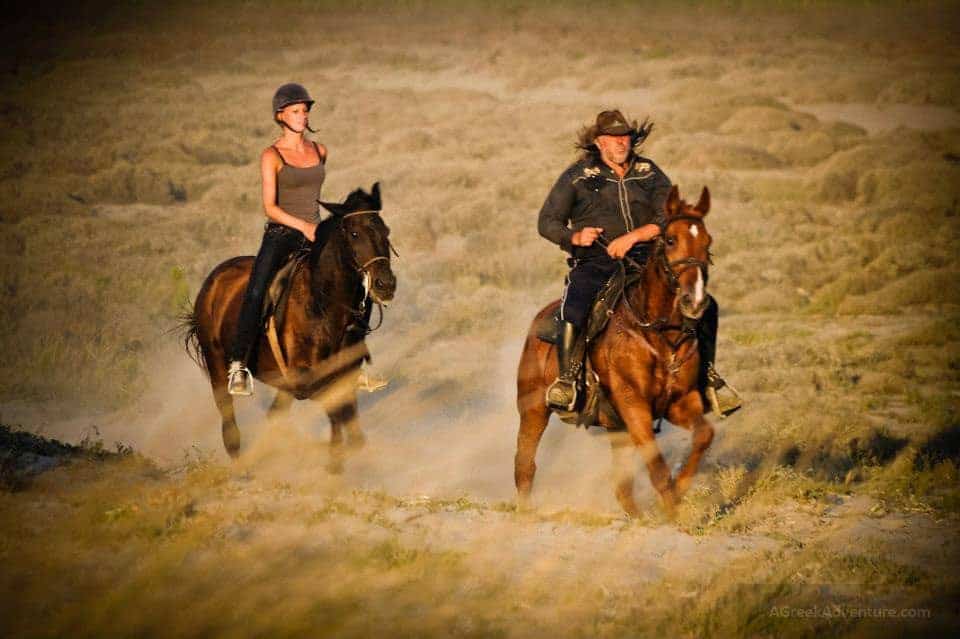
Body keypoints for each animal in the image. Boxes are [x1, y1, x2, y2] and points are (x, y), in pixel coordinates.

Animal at [182, 182, 396, 462]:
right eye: (354, 233)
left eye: (386, 232)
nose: (386, 284)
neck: (323, 304)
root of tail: (213, 281)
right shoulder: (307, 381)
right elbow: (338, 417)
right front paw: (334, 462)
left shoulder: (342, 375)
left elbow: (350, 426)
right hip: (217, 368)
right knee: (230, 427)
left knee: (274, 415)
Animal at [516, 188, 712, 516]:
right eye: (671, 239)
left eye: (708, 242)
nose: (694, 301)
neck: (659, 333)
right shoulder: (634, 405)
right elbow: (657, 467)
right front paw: (671, 510)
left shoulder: (680, 401)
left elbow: (703, 435)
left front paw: (681, 489)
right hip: (533, 410)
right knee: (524, 466)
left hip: (614, 428)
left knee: (622, 487)